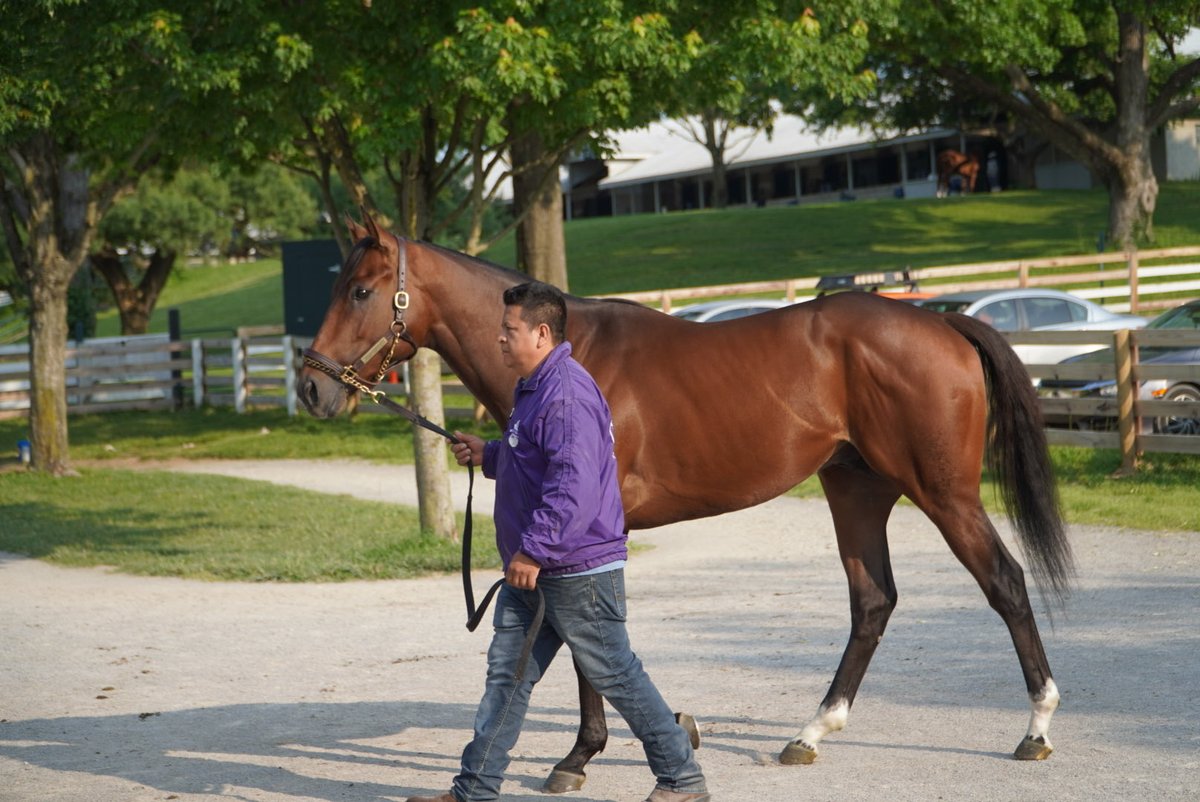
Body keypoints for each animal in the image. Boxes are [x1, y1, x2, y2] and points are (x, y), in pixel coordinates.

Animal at [297, 214, 1070, 797]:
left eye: (360, 290)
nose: (312, 387)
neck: (574, 359)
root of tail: (946, 324)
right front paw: (645, 734)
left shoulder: (587, 533)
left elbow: (585, 644)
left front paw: (579, 756)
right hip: (855, 489)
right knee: (873, 602)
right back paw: (810, 733)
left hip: (942, 493)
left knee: (1004, 583)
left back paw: (1036, 729)